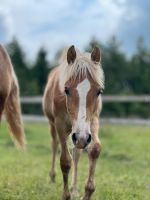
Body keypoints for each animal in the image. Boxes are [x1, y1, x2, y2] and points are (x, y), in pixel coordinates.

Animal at [42, 45, 104, 200]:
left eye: (99, 91)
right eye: (66, 89)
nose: (82, 138)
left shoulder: (92, 122)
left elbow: (95, 149)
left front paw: (87, 192)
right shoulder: (60, 125)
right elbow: (65, 161)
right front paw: (66, 195)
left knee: (76, 154)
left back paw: (75, 188)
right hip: (54, 125)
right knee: (54, 145)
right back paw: (52, 177)